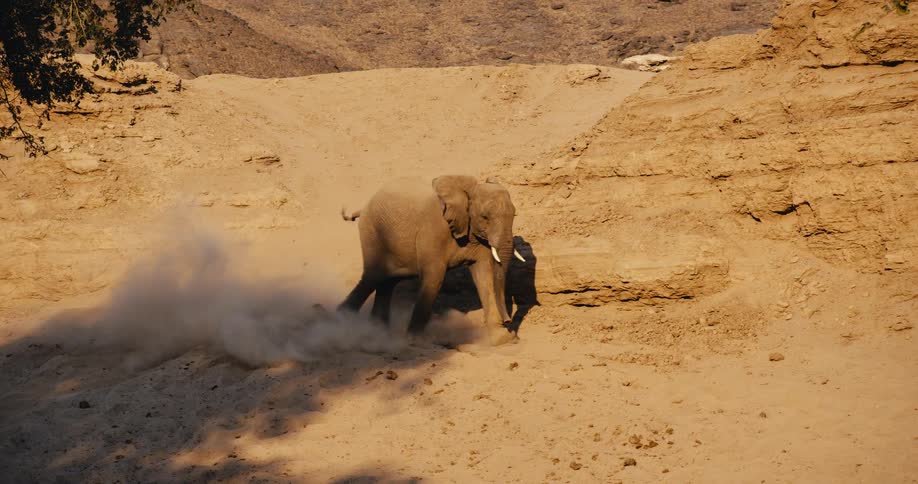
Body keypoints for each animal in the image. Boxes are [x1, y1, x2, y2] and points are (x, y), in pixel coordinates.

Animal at [338, 175, 526, 343]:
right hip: (372, 232)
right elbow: (434, 277)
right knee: (373, 277)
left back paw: (378, 330)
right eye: (485, 217)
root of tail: (364, 206)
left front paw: (501, 339)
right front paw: (415, 341)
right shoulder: (434, 230)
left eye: (514, 216)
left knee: (387, 281)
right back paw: (340, 320)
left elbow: (484, 276)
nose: (508, 321)